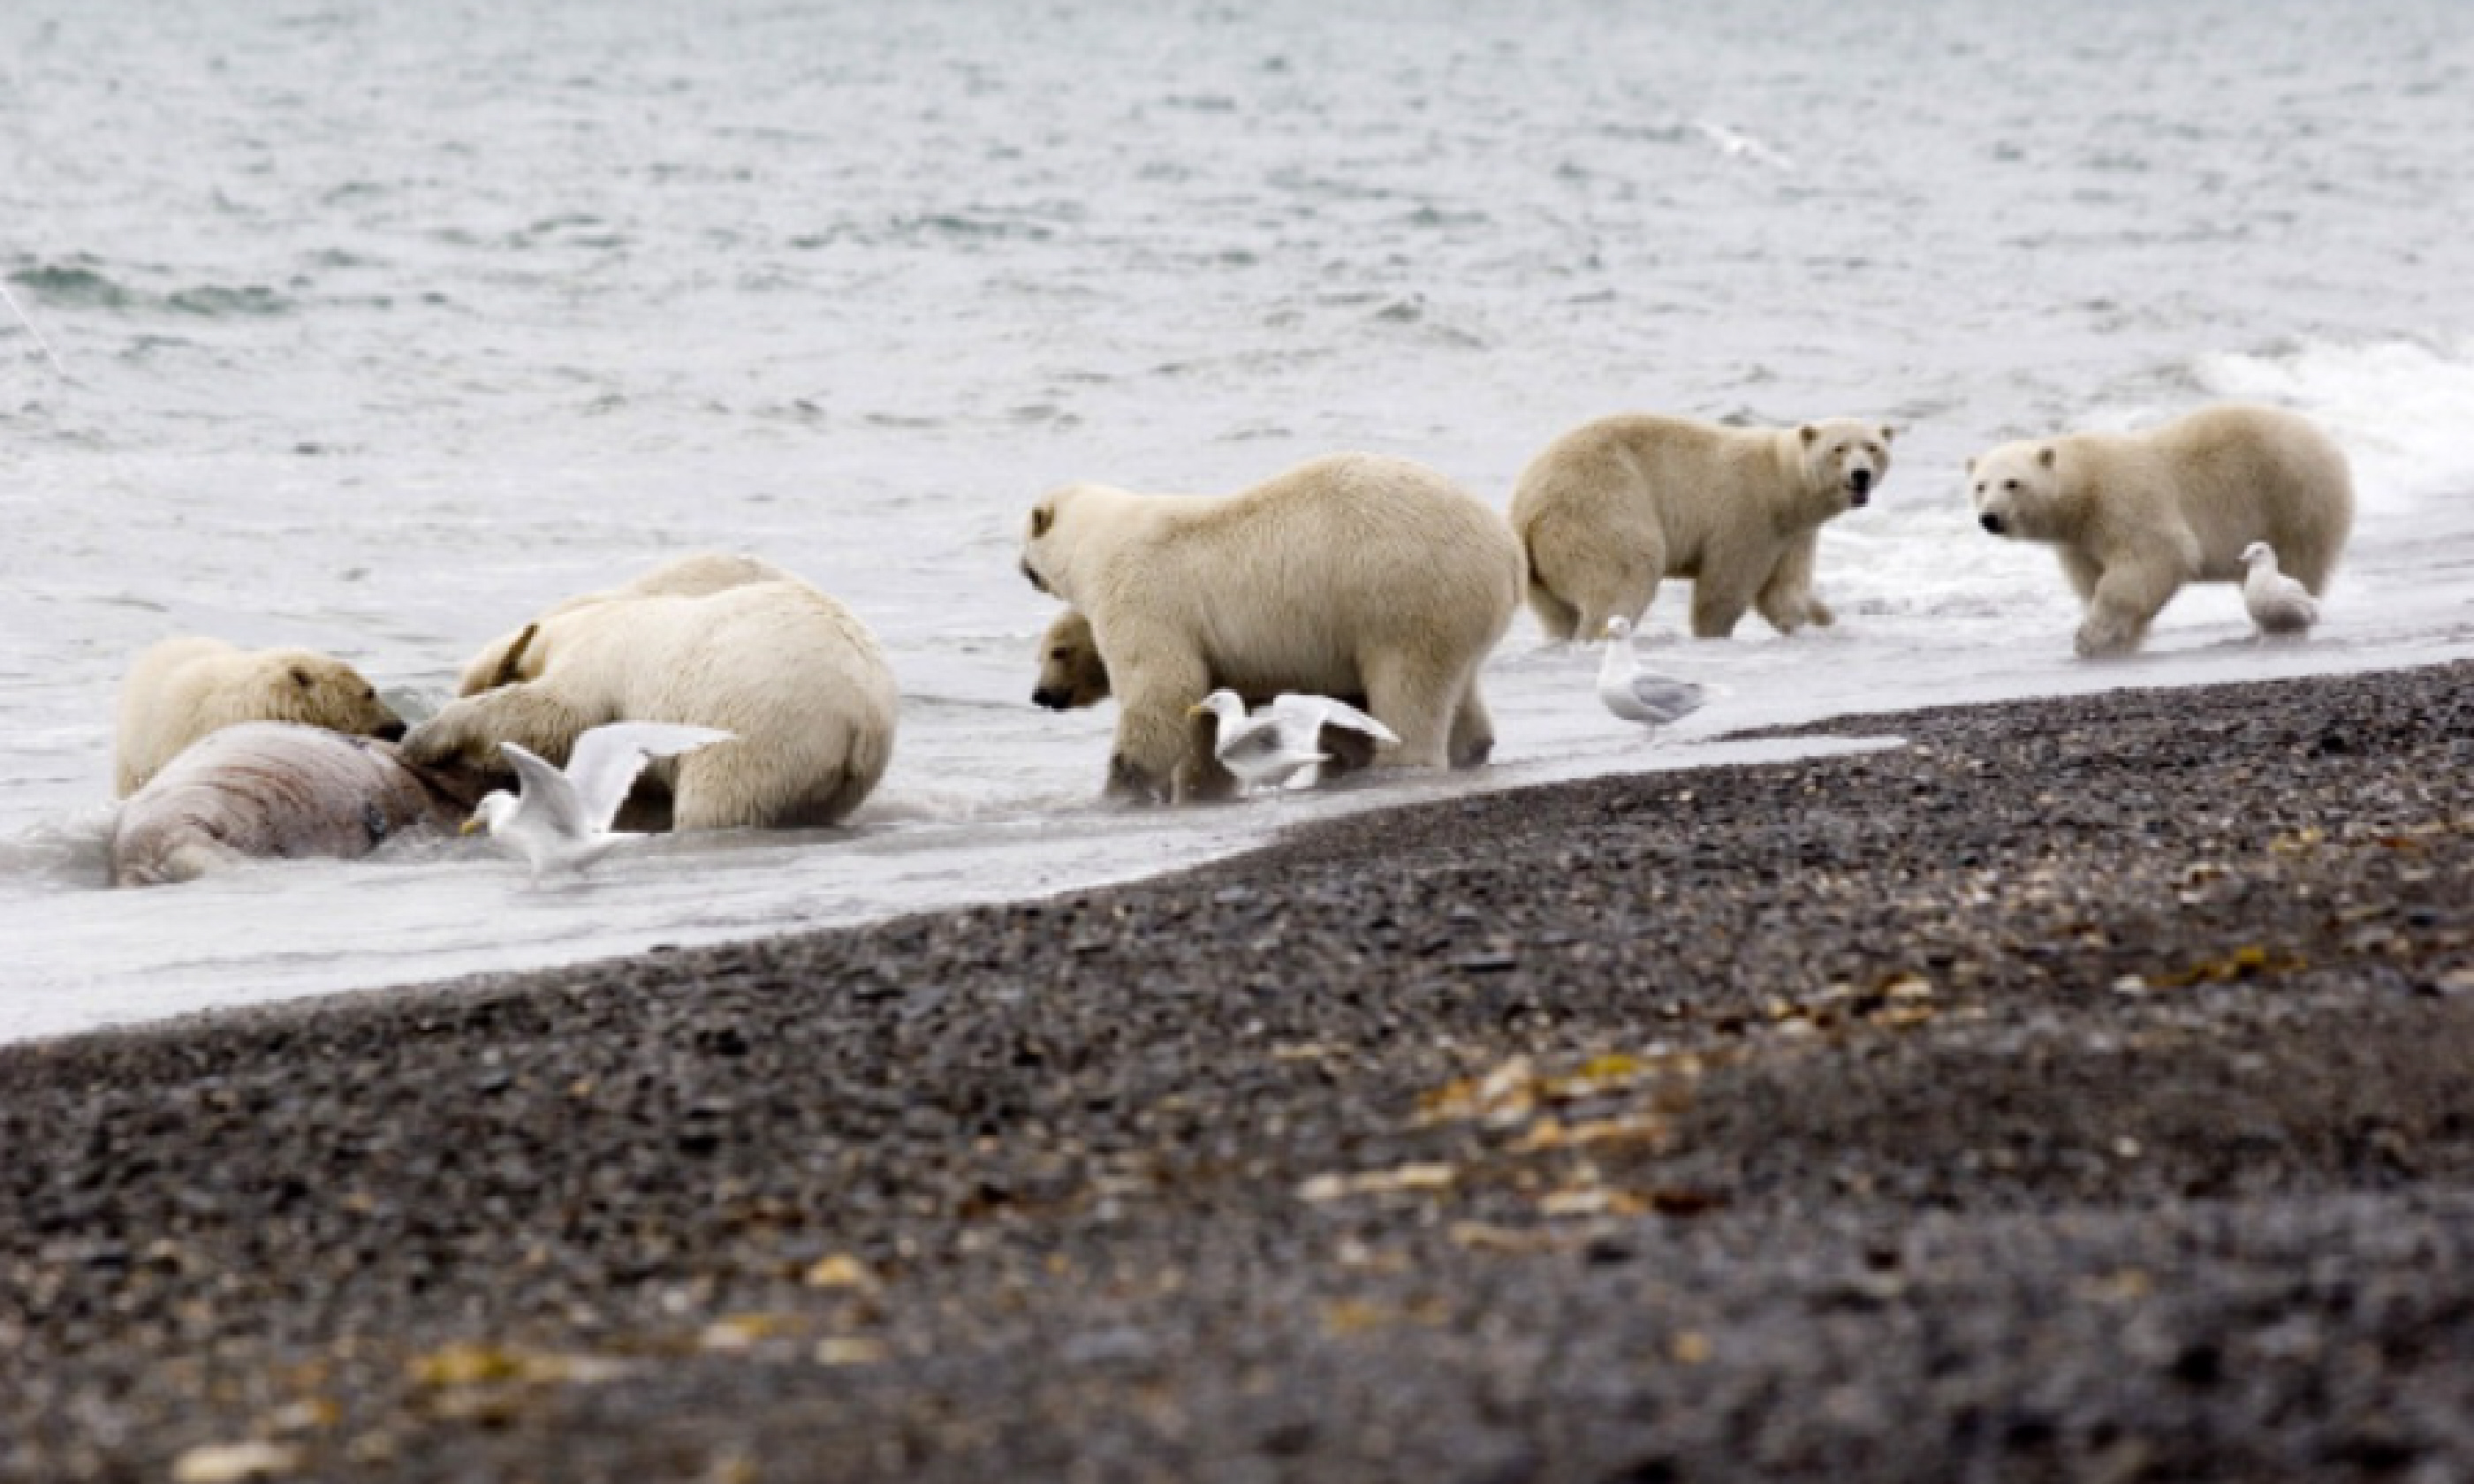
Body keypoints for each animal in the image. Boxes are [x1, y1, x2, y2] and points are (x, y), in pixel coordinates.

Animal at [406, 556, 900, 836]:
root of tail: (862, 719)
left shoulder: (597, 655)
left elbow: (552, 714)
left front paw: (426, 736)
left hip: (763, 721)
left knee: (721, 800)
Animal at [1019, 452, 1523, 806]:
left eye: (1057, 653)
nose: (1041, 695)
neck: (1096, 538)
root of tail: (1508, 549)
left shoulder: (1143, 593)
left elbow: (1162, 687)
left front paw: (1122, 789)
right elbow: (1203, 714)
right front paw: (1202, 789)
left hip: (1401, 593)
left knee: (1408, 690)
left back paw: (1397, 764)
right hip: (1451, 610)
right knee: (1459, 689)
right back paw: (1468, 751)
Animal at [1504, 415, 1890, 638]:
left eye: (1873, 446)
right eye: (1839, 448)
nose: (1860, 475)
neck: (1784, 485)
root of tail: (1527, 509)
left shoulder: (1794, 533)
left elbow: (1786, 592)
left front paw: (1821, 621)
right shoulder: (1747, 513)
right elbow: (1725, 586)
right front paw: (1713, 633)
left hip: (1540, 566)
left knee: (1556, 614)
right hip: (1601, 510)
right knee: (1625, 578)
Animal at [1969, 405, 2355, 662]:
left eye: (2012, 483)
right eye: (1980, 486)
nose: (1990, 518)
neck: (2086, 485)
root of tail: (2328, 443)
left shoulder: (2126, 499)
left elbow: (2153, 558)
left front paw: (2091, 639)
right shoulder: (2081, 540)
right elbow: (2092, 579)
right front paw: (2119, 639)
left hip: (2294, 497)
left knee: (2297, 565)